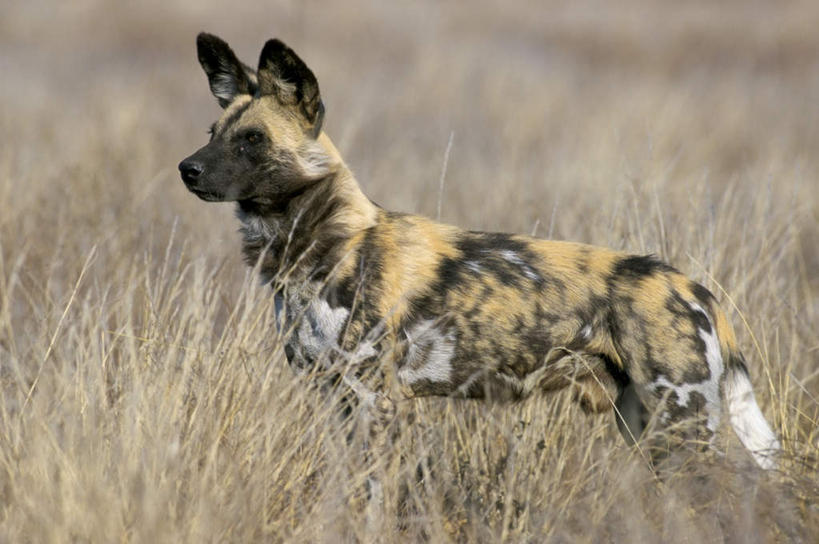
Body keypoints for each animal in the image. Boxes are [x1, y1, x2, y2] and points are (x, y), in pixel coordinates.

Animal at [178, 31, 780, 470]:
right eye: (211, 132)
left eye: (252, 140)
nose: (187, 168)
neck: (322, 244)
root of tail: (692, 287)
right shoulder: (336, 400)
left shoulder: (376, 402)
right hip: (644, 427)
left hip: (682, 428)